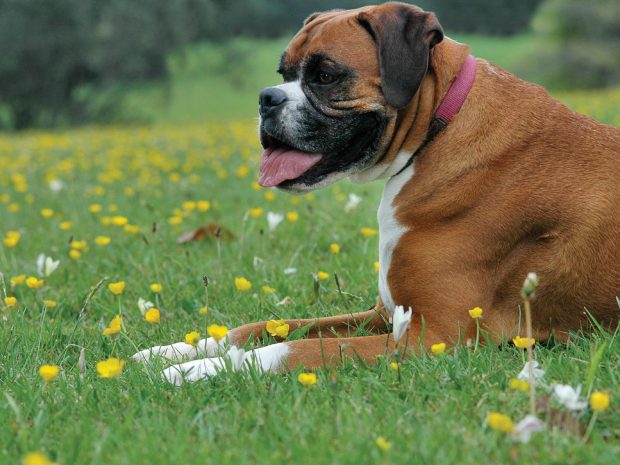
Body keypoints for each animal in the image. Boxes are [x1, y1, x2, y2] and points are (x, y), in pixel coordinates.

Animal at [136, 1, 620, 382]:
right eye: (283, 73)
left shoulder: (432, 337)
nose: (266, 98)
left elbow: (286, 349)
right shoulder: (386, 315)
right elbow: (263, 327)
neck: (439, 128)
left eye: (325, 76)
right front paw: (173, 351)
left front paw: (191, 371)